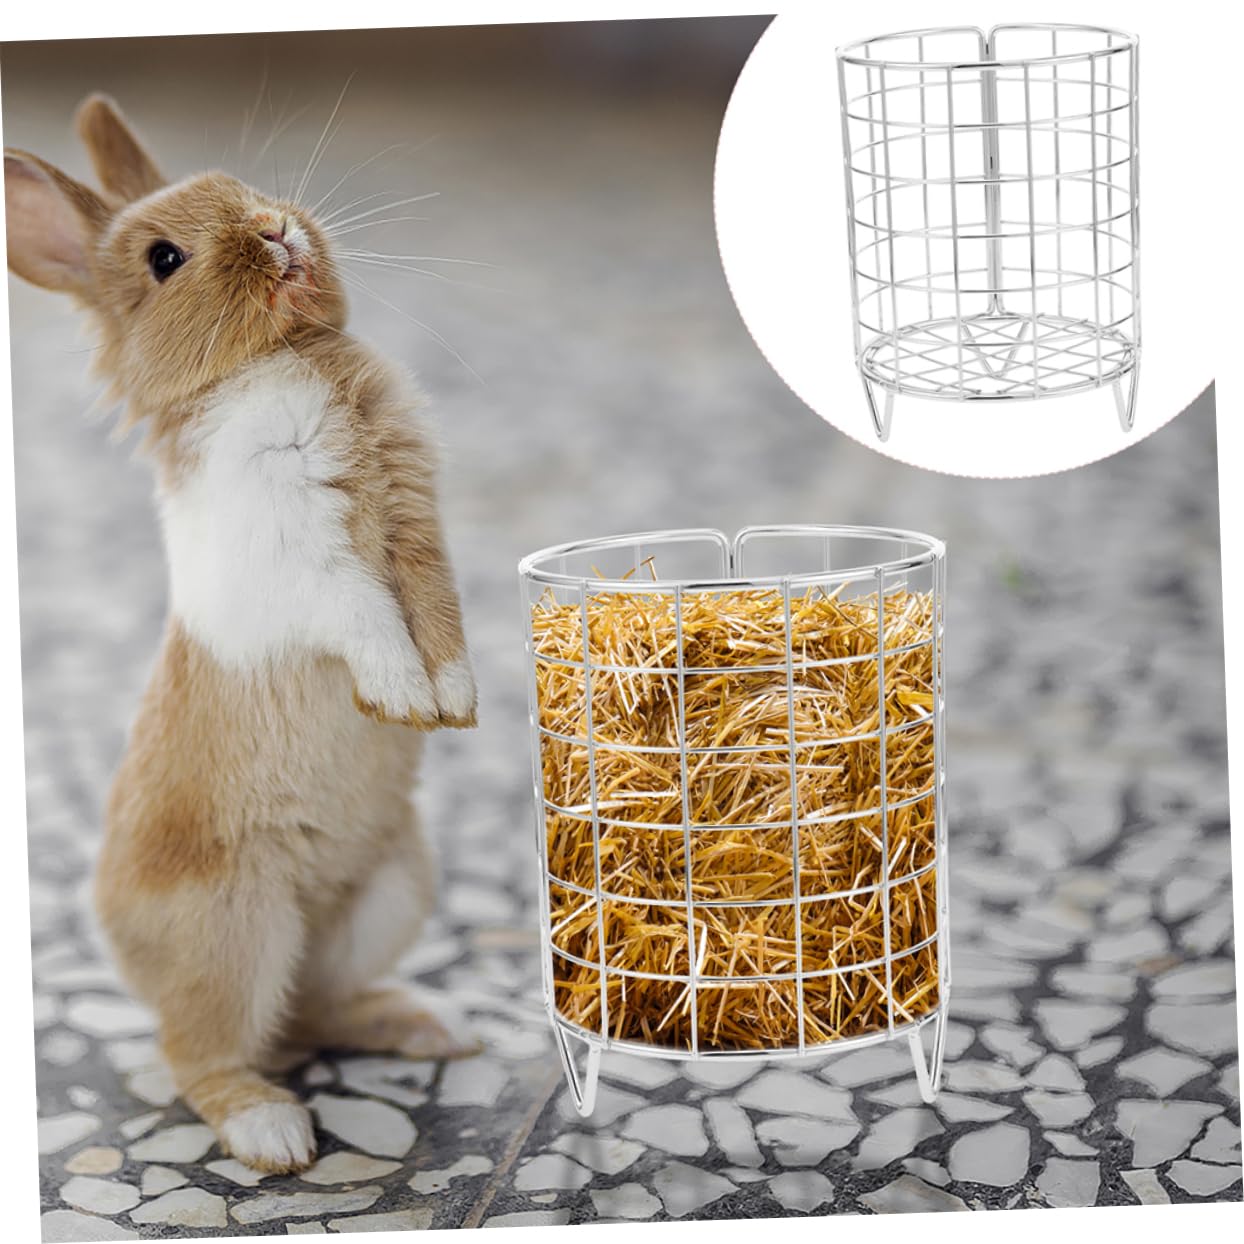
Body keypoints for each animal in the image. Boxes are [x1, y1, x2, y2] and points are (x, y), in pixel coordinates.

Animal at [5, 95, 481, 1173]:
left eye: (238, 185)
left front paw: (454, 705)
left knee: (310, 1011)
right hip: (237, 929)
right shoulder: (313, 569)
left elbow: (435, 609)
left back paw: (434, 1026)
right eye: (164, 259)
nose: (274, 227)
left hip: (388, 893)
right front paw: (402, 697)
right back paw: (277, 1133)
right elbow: (368, 613)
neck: (277, 358)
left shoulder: (420, 529)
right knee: (207, 1052)